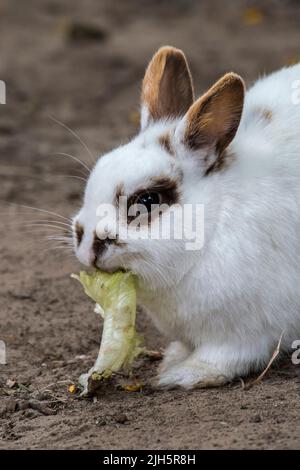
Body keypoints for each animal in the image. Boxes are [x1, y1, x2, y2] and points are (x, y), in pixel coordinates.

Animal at [72, 46, 300, 388]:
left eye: (147, 201)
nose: (87, 249)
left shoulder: (247, 333)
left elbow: (224, 358)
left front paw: (181, 375)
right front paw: (173, 358)